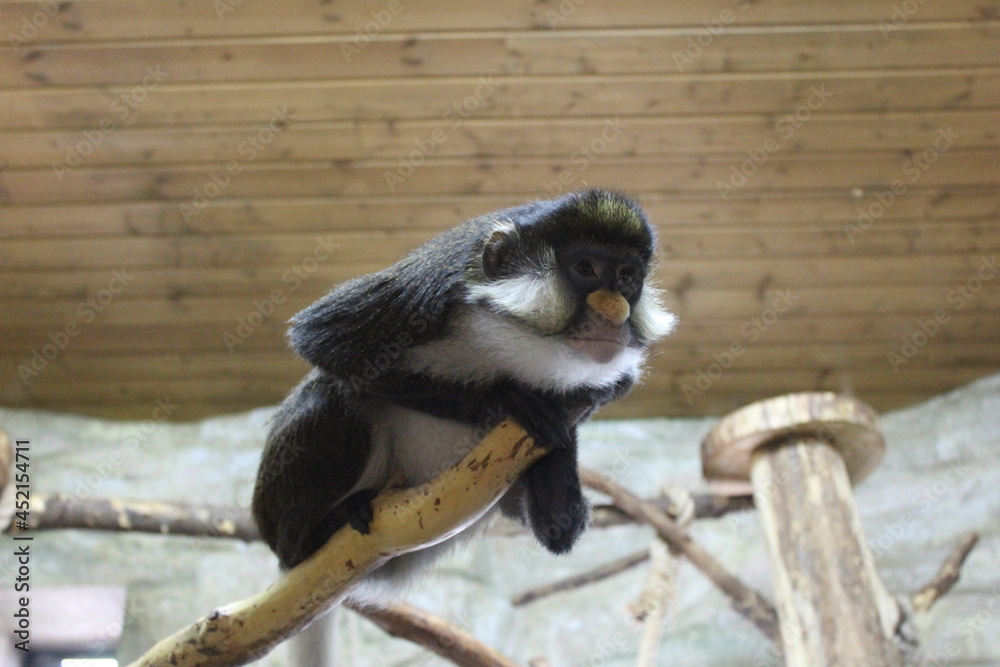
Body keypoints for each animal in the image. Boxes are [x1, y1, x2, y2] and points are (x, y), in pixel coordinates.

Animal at [251, 188, 677, 603]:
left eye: (626, 277)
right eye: (586, 269)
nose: (616, 311)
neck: (518, 339)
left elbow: (558, 529)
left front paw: (566, 421)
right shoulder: (430, 291)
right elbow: (322, 339)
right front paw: (505, 401)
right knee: (337, 392)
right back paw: (319, 531)